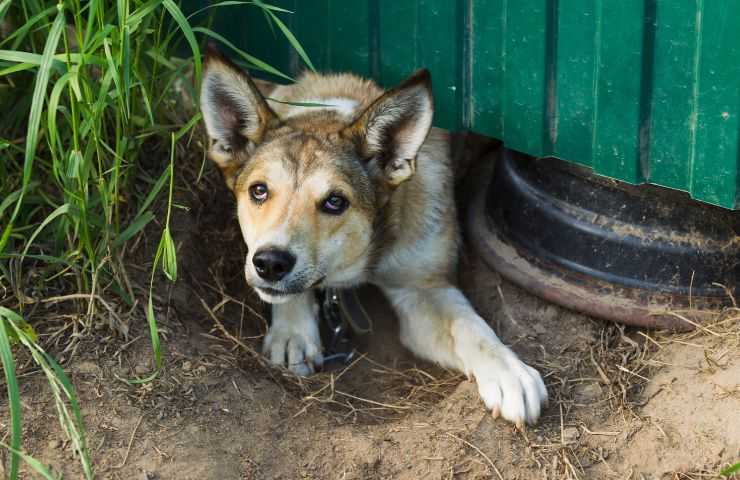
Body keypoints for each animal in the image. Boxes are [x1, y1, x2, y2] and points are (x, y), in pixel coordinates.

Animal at [199, 47, 548, 426]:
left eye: (335, 201)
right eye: (259, 191)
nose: (271, 263)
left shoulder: (423, 287)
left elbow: (470, 327)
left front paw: (508, 371)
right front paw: (292, 332)